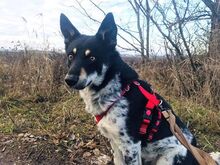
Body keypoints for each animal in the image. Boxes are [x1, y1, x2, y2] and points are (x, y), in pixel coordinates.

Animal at [59, 12, 219, 164]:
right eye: (70, 56)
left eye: (92, 58)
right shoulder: (115, 143)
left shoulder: (131, 145)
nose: (69, 80)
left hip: (168, 158)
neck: (116, 90)